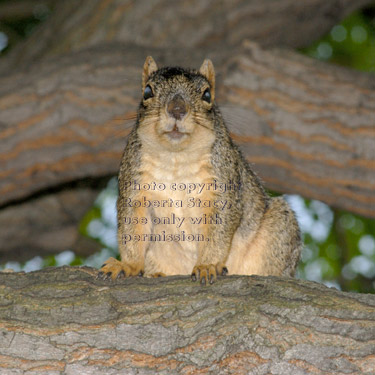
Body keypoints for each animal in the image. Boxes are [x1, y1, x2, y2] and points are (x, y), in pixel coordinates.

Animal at [97, 55, 302, 284]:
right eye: (147, 91)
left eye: (207, 94)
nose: (177, 109)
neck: (176, 157)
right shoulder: (134, 184)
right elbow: (132, 228)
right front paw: (127, 265)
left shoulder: (223, 184)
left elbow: (218, 230)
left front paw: (207, 265)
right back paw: (155, 273)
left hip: (279, 229)